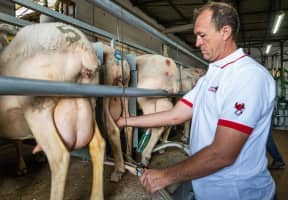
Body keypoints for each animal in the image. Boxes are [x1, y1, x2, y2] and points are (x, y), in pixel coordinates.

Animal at [0, 22, 106, 200]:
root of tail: (81, 45)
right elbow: (17, 141)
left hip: (38, 109)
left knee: (59, 157)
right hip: (90, 104)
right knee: (98, 144)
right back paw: (96, 196)